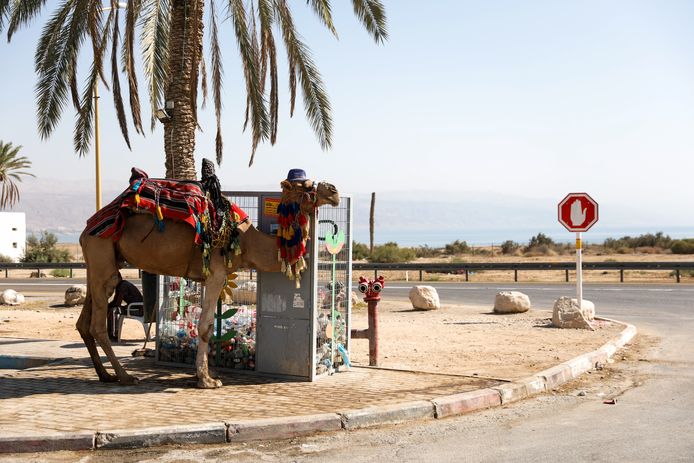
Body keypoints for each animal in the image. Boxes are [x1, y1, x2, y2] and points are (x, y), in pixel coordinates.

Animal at [77, 167, 338, 388]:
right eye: (306, 185)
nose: (334, 191)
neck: (245, 240)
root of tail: (85, 231)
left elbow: (208, 325)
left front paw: (203, 373)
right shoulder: (216, 275)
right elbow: (205, 326)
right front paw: (206, 379)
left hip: (97, 263)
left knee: (83, 323)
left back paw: (105, 374)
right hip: (102, 256)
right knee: (97, 324)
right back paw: (125, 376)